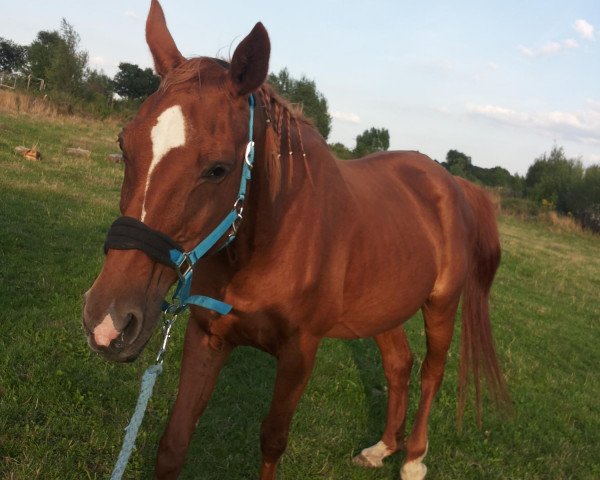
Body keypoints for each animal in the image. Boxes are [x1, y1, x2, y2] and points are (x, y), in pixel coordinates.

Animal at [82, 1, 508, 478]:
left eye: (218, 168)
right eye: (125, 144)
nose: (108, 322)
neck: (270, 241)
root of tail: (451, 183)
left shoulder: (299, 353)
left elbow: (272, 441)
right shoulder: (207, 337)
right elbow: (173, 443)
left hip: (441, 306)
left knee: (432, 372)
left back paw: (413, 459)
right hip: (385, 306)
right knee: (399, 364)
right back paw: (382, 447)